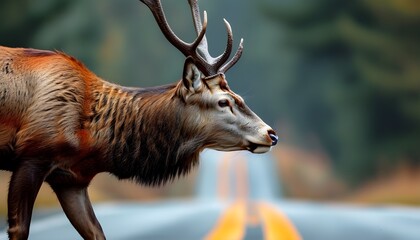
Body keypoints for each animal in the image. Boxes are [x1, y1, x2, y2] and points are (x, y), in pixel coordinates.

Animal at [0, 0, 278, 239]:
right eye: (223, 101)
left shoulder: (71, 179)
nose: (271, 134)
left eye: (239, 96)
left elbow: (97, 231)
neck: (92, 141)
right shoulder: (32, 154)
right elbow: (19, 229)